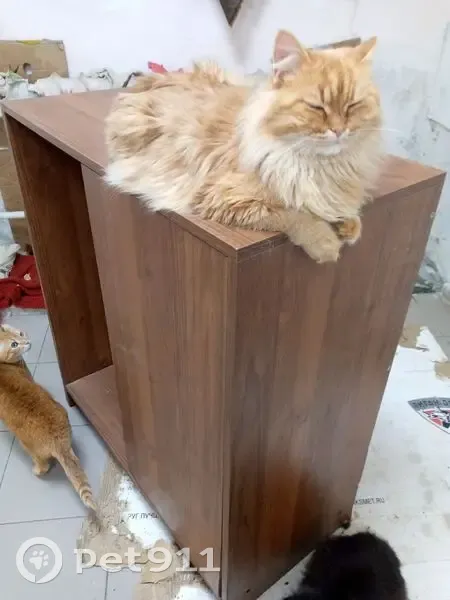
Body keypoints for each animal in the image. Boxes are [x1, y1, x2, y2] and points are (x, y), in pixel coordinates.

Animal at [0, 324, 97, 515]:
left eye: (20, 333)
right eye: (14, 344)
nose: (27, 342)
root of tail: (59, 440)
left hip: (28, 447)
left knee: (43, 465)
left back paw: (37, 471)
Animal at [105, 30, 382, 263]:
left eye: (353, 105)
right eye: (316, 107)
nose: (339, 130)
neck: (320, 165)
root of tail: (160, 77)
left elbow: (335, 203)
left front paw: (348, 223)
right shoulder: (227, 198)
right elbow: (296, 215)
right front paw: (326, 243)